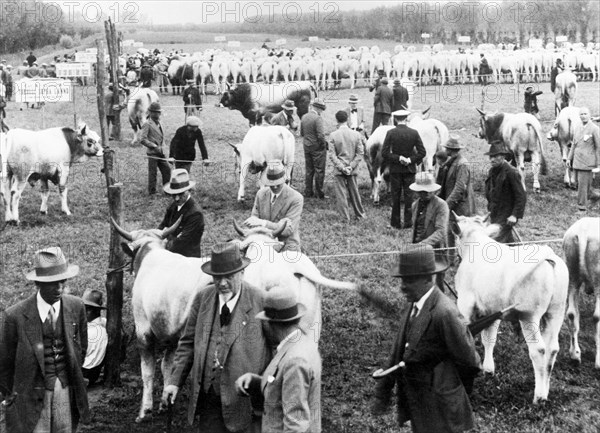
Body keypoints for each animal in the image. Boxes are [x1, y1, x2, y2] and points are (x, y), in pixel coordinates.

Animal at [454, 214, 568, 404]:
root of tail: (548, 255)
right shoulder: (492, 311)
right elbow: (489, 338)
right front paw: (488, 369)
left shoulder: (466, 305)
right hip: (556, 312)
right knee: (552, 349)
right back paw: (545, 393)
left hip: (529, 316)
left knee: (539, 350)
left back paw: (538, 397)